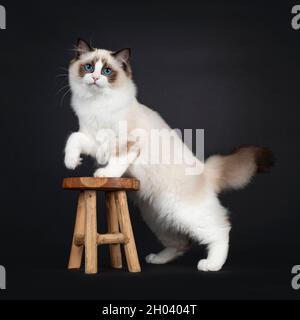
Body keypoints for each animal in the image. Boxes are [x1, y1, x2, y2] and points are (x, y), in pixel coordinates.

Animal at [64, 38, 274, 272]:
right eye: (88, 67)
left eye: (107, 71)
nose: (94, 78)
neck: (97, 104)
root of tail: (204, 170)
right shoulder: (92, 138)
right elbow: (73, 139)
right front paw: (72, 162)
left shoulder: (128, 143)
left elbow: (116, 162)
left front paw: (104, 175)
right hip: (157, 217)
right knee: (182, 244)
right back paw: (157, 259)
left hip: (186, 213)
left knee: (221, 229)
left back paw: (211, 265)